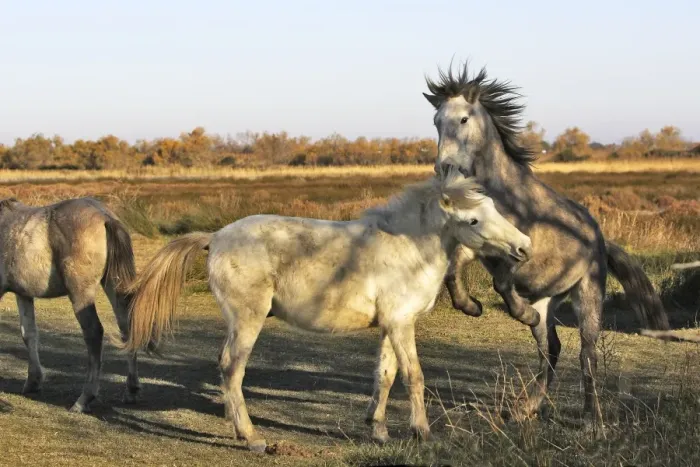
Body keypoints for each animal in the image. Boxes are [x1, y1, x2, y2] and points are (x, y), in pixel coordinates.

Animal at [0, 196, 140, 413]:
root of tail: (105, 216)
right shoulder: (23, 294)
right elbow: (29, 334)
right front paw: (33, 381)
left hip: (80, 294)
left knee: (93, 333)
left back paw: (83, 399)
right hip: (113, 285)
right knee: (126, 326)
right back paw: (131, 390)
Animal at [122, 168, 532, 452]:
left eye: (495, 209)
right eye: (473, 220)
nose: (524, 247)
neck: (408, 248)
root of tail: (216, 237)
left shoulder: (390, 325)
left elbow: (385, 376)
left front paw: (378, 430)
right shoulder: (402, 325)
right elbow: (413, 376)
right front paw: (422, 432)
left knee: (225, 369)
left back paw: (236, 425)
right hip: (247, 320)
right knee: (231, 368)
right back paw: (252, 438)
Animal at [422, 62, 671, 426]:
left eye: (464, 119)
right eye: (436, 121)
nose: (445, 168)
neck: (505, 196)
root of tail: (600, 239)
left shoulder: (522, 250)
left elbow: (502, 281)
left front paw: (518, 312)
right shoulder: (476, 246)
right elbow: (454, 273)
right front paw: (472, 307)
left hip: (588, 297)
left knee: (587, 355)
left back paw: (591, 418)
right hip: (548, 300)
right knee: (550, 349)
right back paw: (526, 407)